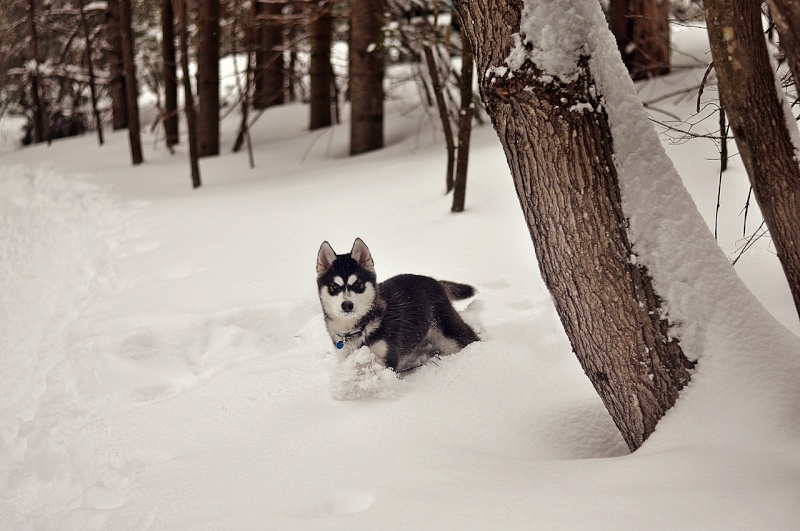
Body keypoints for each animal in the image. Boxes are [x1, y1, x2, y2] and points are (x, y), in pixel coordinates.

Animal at [318, 239, 482, 372]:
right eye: (334, 286)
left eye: (357, 284)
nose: (347, 305)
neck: (359, 328)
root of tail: (435, 281)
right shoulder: (346, 358)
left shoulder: (387, 359)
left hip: (449, 332)